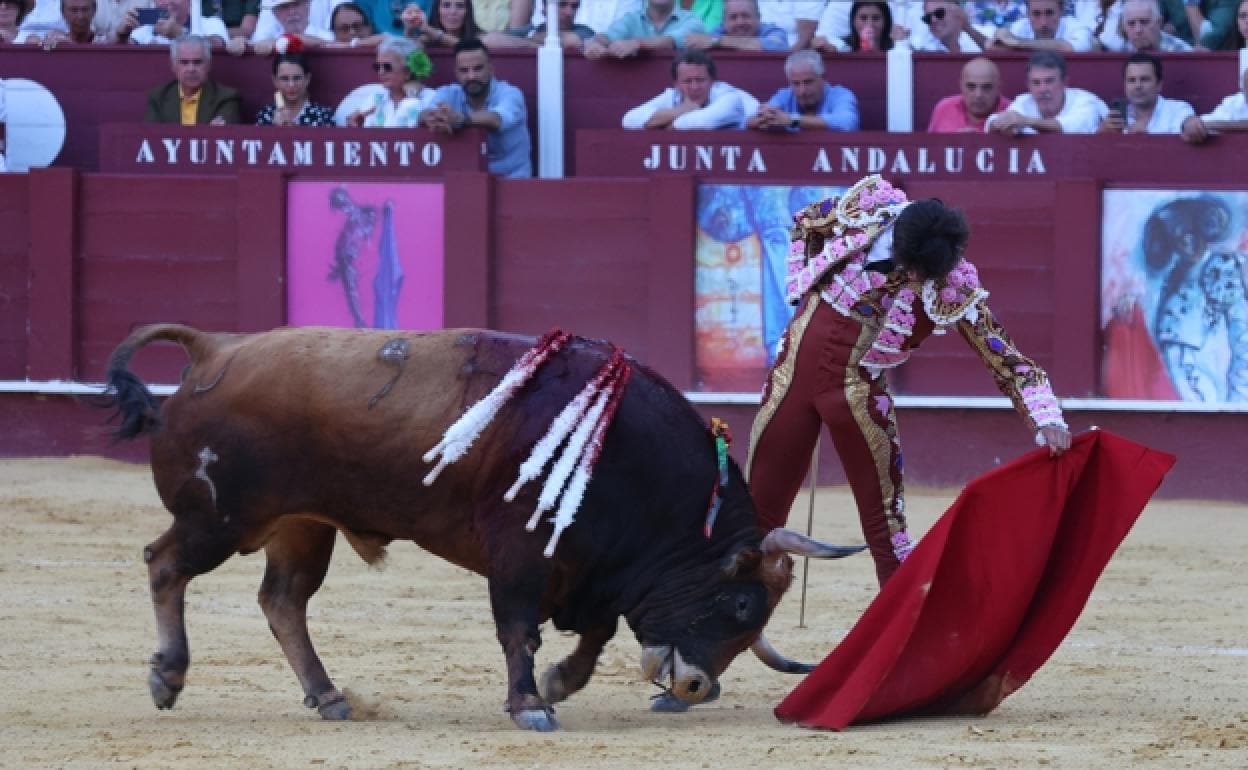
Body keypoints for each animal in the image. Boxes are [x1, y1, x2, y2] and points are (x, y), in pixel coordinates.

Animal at [102, 321, 863, 728]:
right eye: (740, 604)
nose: (698, 687)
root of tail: (213, 348)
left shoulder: (589, 566)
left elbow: (594, 633)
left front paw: (558, 684)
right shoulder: (521, 553)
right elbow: (518, 628)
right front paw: (530, 704)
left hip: (301, 526)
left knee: (283, 601)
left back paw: (329, 696)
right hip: (219, 518)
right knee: (165, 563)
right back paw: (168, 677)